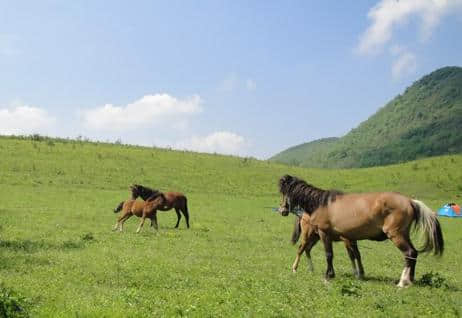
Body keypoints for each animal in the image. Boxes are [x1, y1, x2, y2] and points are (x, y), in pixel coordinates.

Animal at [278, 175, 444, 286]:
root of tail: (410, 201)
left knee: (409, 253)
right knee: (413, 254)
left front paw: (328, 275)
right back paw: (409, 280)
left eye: (284, 192)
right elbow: (351, 255)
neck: (321, 203)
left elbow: (329, 255)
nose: (282, 210)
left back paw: (403, 282)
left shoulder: (326, 234)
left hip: (396, 235)